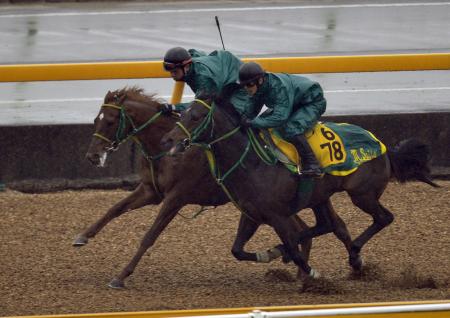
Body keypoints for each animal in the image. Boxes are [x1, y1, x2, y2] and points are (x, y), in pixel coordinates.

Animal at [74, 87, 312, 288]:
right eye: (96, 119)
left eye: (110, 121)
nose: (92, 156)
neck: (165, 150)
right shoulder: (151, 191)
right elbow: (115, 208)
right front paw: (83, 237)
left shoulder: (176, 198)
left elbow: (150, 235)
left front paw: (121, 276)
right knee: (302, 229)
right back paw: (300, 272)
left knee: (299, 230)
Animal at [163, 84, 440, 278]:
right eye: (184, 113)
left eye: (197, 116)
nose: (169, 139)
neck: (253, 162)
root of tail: (383, 146)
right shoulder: (252, 213)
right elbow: (238, 250)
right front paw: (270, 253)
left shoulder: (276, 216)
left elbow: (294, 246)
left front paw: (310, 271)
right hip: (320, 197)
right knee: (333, 225)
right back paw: (352, 258)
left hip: (362, 194)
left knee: (382, 218)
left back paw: (354, 253)